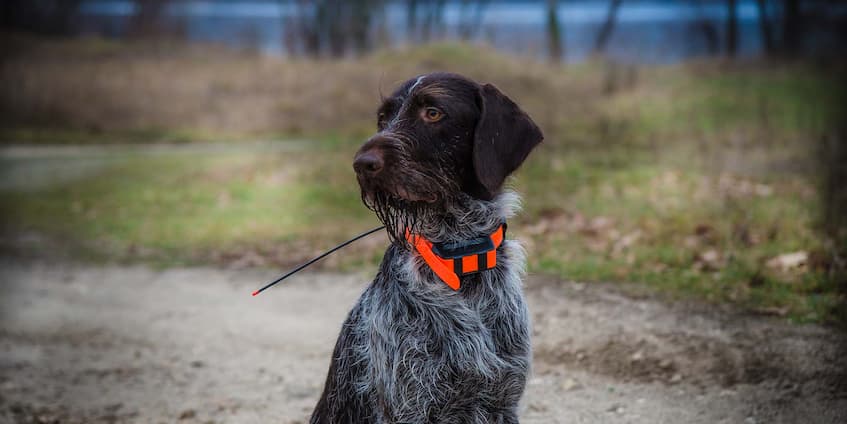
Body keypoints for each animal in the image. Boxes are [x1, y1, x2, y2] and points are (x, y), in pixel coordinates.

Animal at [312, 73, 544, 424]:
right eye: (383, 118)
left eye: (433, 113)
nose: (361, 164)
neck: (460, 259)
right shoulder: (410, 406)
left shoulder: (502, 402)